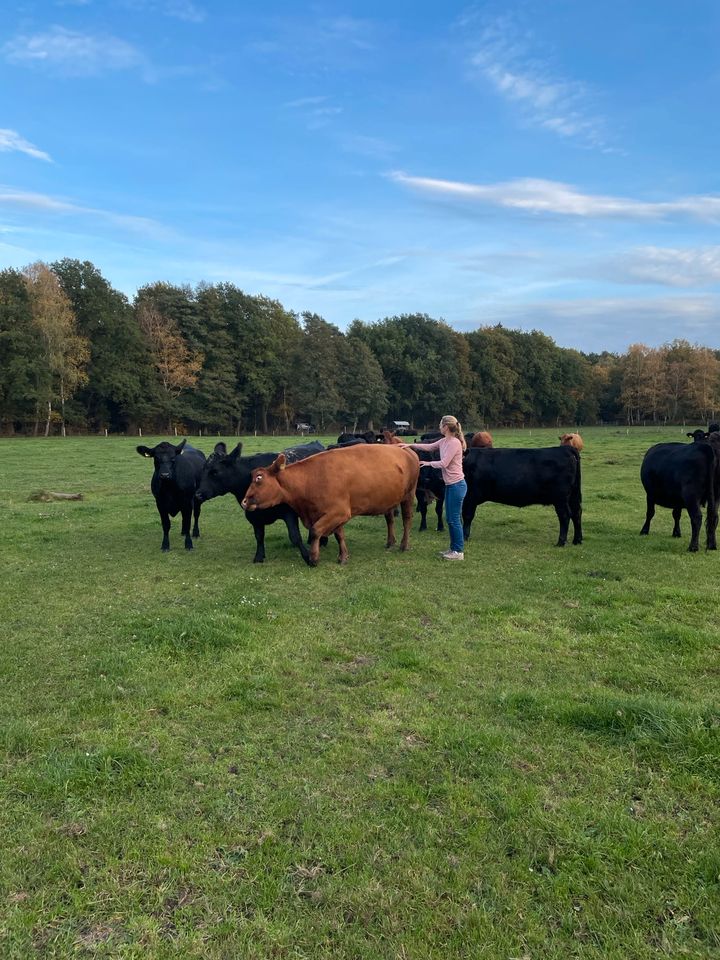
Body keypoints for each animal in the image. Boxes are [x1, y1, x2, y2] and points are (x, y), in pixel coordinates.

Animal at [194, 440, 324, 568]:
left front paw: (308, 558)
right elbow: (259, 536)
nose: (198, 494)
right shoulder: (254, 516)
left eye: (215, 472)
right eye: (203, 469)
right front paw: (259, 556)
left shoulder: (289, 512)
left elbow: (295, 536)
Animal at [242, 446, 422, 568]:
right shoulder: (335, 514)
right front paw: (343, 556)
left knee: (407, 520)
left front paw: (314, 558)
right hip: (390, 500)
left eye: (259, 478)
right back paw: (390, 542)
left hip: (408, 495)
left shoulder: (338, 512)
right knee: (389, 519)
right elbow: (339, 535)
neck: (310, 479)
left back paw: (404, 545)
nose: (244, 501)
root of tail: (406, 450)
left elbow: (315, 531)